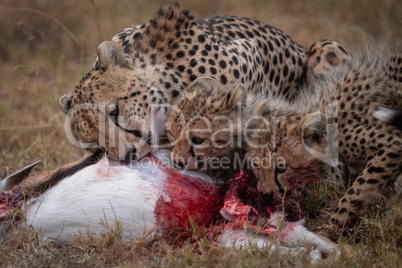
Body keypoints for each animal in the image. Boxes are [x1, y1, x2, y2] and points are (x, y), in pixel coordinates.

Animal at [248, 44, 402, 228]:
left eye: (282, 167)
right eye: (256, 165)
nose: (265, 193)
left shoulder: (393, 143)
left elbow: (357, 190)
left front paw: (331, 226)